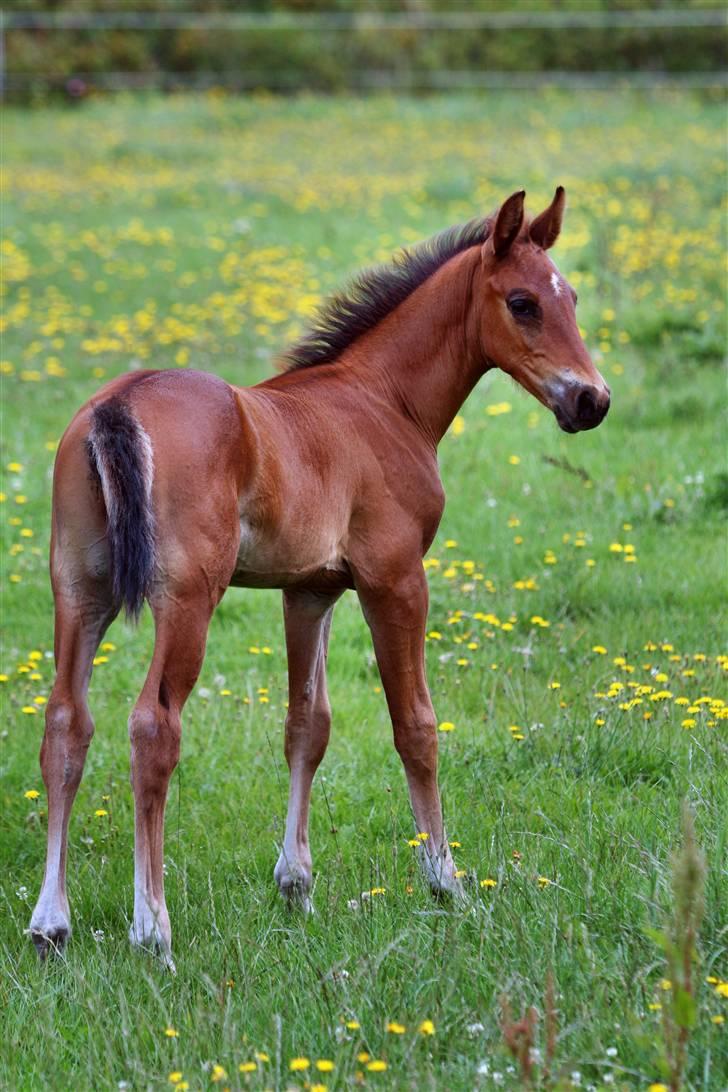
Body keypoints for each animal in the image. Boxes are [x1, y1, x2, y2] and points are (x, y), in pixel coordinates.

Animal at [28, 187, 611, 965]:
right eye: (522, 303)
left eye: (570, 297)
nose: (591, 401)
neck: (381, 401)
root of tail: (118, 404)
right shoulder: (395, 578)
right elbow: (415, 725)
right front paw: (446, 884)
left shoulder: (311, 590)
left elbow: (308, 725)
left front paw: (295, 887)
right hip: (187, 597)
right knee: (153, 727)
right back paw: (153, 929)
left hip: (78, 590)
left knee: (67, 722)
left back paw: (49, 923)